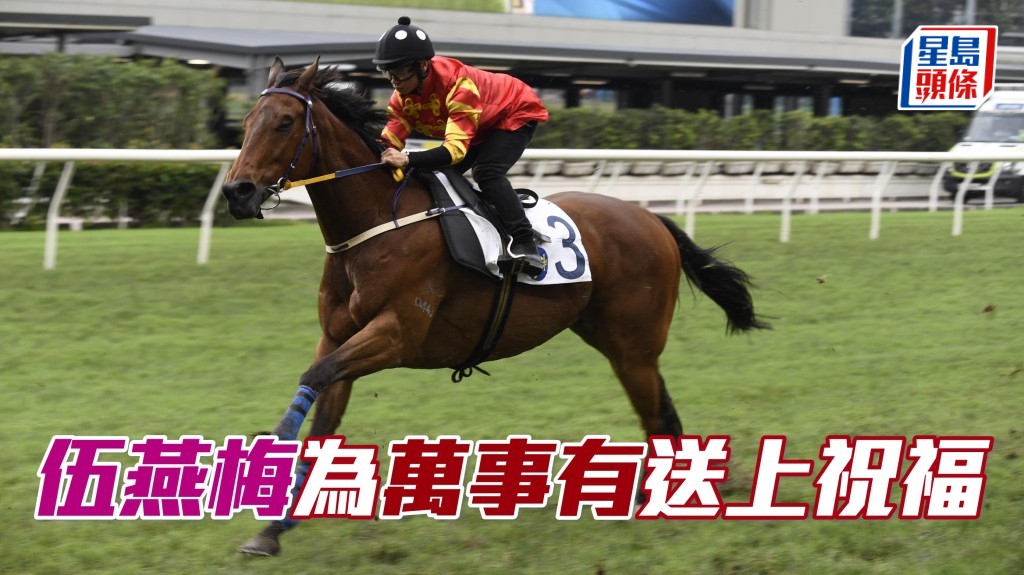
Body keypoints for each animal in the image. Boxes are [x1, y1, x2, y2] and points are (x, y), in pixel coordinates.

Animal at [221, 57, 769, 556]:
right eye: (246, 122)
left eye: (285, 122)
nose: (236, 191)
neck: (377, 221)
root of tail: (651, 218)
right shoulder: (339, 337)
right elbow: (323, 411)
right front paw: (271, 530)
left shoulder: (396, 334)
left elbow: (313, 377)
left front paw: (270, 452)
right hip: (617, 342)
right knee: (664, 415)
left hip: (633, 347)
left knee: (657, 417)